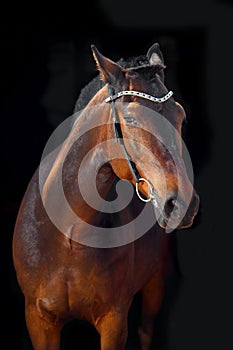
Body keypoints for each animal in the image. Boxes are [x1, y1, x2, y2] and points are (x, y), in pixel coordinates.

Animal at [12, 42, 198, 348]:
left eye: (180, 116)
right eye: (131, 118)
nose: (183, 204)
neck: (68, 235)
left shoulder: (114, 321)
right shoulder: (39, 320)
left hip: (155, 283)